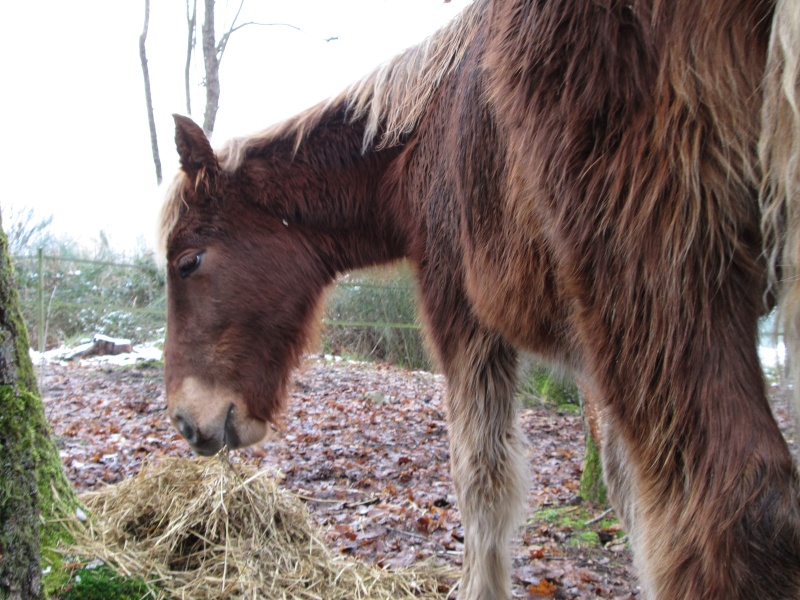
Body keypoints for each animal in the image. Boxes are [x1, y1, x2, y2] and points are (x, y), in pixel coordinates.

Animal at [159, 2, 800, 596]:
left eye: (188, 262)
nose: (187, 422)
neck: (418, 139)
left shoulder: (463, 314)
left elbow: (481, 480)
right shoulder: (591, 353)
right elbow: (630, 497)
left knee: (741, 509)